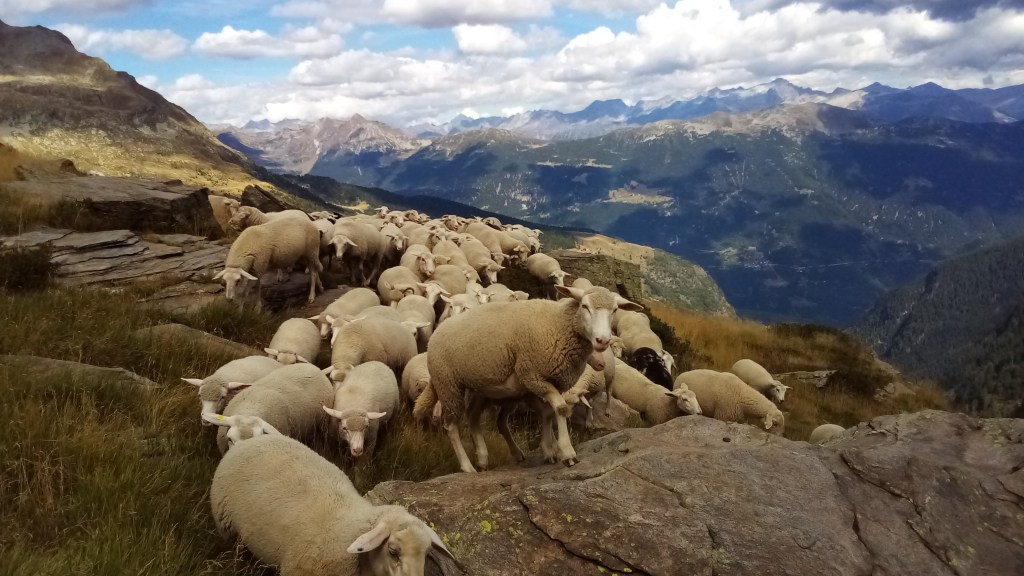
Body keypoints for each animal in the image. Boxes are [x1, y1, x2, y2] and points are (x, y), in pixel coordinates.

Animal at [419, 285, 643, 473]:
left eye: (615, 310)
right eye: (585, 306)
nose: (602, 341)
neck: (558, 325)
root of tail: (438, 330)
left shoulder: (547, 383)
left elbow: (549, 413)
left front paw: (551, 449)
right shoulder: (533, 376)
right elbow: (560, 409)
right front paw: (567, 453)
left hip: (483, 386)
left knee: (473, 416)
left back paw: (484, 458)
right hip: (448, 384)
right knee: (451, 426)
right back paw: (467, 467)